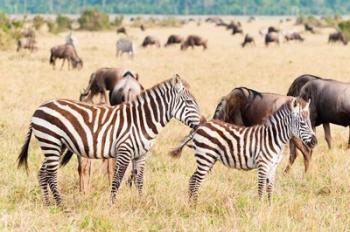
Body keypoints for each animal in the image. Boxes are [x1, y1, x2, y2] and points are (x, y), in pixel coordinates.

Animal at [17, 75, 204, 206]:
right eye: (189, 102)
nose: (202, 123)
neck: (141, 121)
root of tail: (39, 107)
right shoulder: (124, 150)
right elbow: (117, 179)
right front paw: (112, 205)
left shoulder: (141, 154)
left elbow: (139, 180)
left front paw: (141, 202)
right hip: (51, 142)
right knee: (51, 174)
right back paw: (61, 205)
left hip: (56, 145)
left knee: (42, 173)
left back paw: (48, 204)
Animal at [170, 97, 318, 205]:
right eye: (302, 123)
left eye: (310, 122)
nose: (315, 142)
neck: (273, 138)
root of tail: (200, 126)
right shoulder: (263, 165)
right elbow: (261, 189)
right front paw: (260, 210)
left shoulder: (273, 166)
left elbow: (270, 189)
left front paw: (269, 208)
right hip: (205, 158)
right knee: (196, 181)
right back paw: (195, 206)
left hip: (207, 159)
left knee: (192, 179)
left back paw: (191, 204)